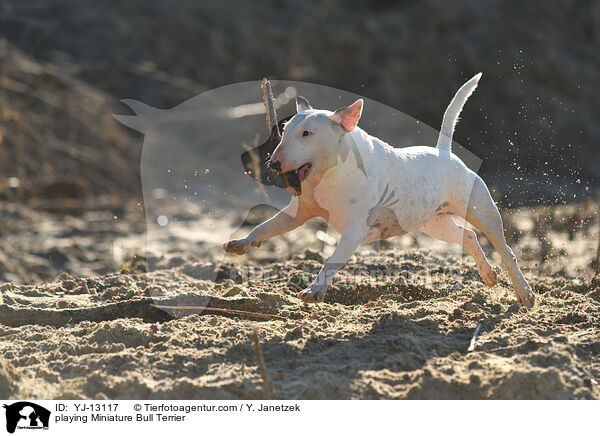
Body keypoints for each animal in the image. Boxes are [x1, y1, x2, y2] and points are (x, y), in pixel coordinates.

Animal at [224, 74, 536, 306]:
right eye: (286, 129)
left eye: (307, 133)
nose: (273, 163)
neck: (331, 174)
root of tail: (444, 153)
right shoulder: (299, 212)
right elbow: (267, 226)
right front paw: (240, 243)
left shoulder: (354, 230)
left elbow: (332, 260)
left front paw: (314, 291)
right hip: (434, 223)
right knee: (468, 236)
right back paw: (489, 276)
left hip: (480, 210)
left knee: (504, 249)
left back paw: (524, 293)